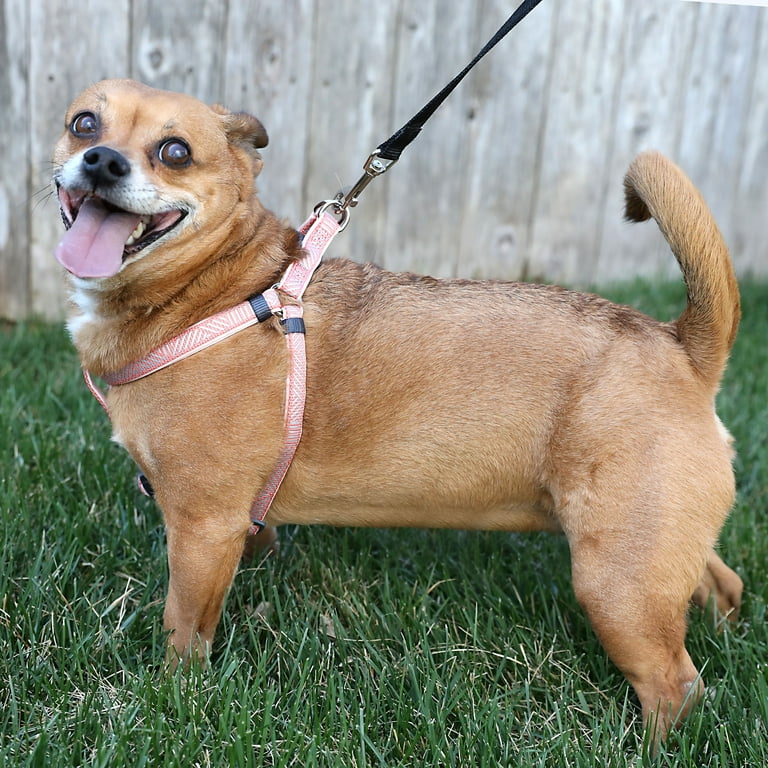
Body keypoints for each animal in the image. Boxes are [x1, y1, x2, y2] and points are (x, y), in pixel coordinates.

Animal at [54, 79, 744, 744]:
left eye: (175, 152)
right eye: (83, 123)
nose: (102, 159)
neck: (212, 291)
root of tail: (681, 345)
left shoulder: (202, 528)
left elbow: (182, 628)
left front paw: (170, 698)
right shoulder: (234, 524)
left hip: (615, 584)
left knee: (674, 686)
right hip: (657, 547)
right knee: (718, 583)